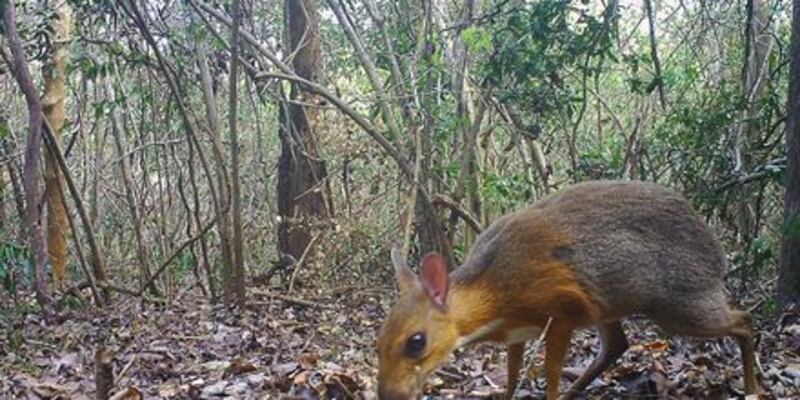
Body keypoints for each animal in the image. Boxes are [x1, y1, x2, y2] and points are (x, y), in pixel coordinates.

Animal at [377, 180, 759, 399]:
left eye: (416, 342)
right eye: (378, 340)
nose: (388, 394)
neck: (496, 290)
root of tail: (717, 250)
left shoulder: (563, 311)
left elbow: (550, 374)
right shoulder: (518, 332)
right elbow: (512, 375)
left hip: (682, 302)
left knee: (743, 318)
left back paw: (754, 388)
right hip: (609, 305)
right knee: (617, 345)